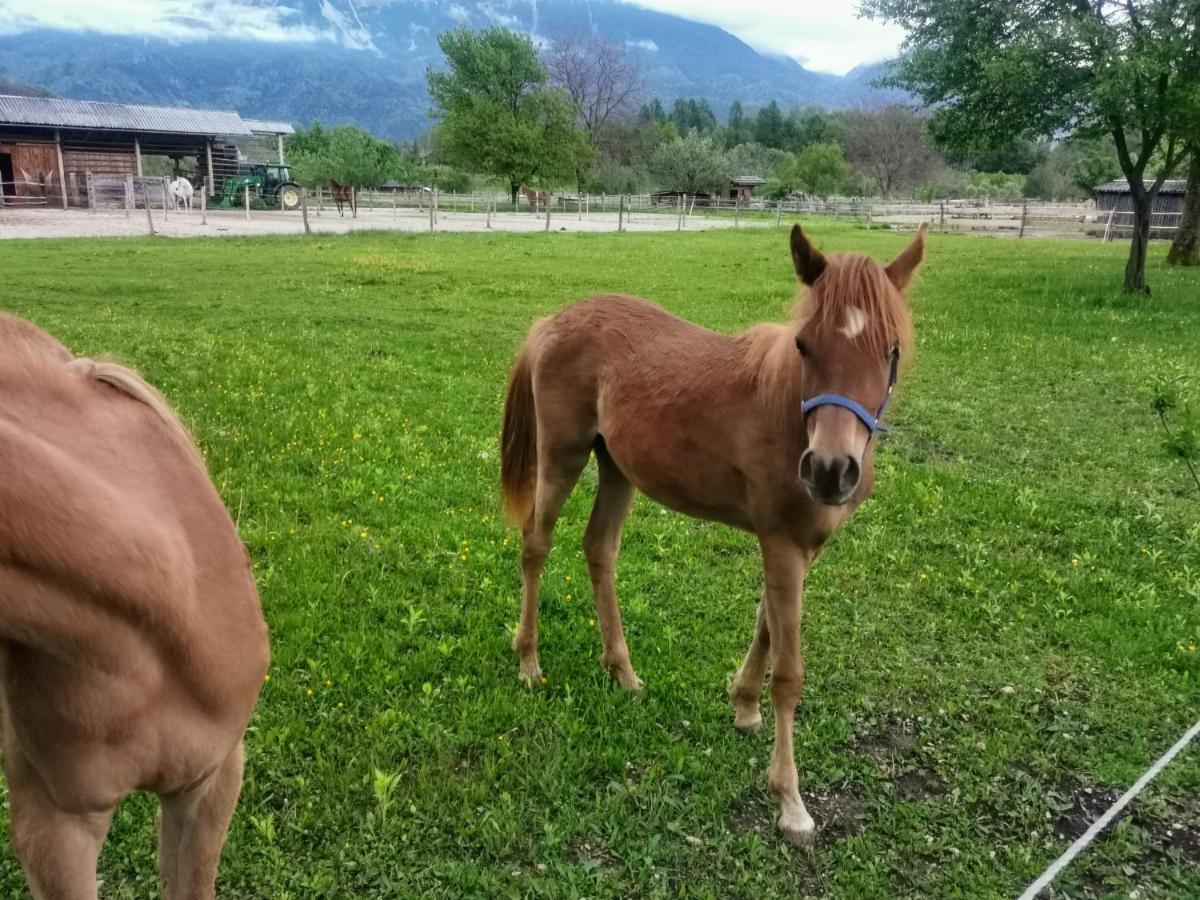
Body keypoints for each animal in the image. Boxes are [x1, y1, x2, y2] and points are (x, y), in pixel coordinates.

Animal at [501, 224, 921, 844]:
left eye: (891, 351)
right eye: (805, 346)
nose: (830, 471)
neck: (787, 414)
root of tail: (552, 321)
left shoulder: (800, 548)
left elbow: (766, 624)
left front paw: (743, 708)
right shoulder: (782, 544)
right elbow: (789, 671)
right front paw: (790, 800)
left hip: (617, 468)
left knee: (599, 549)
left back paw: (623, 672)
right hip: (562, 455)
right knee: (536, 545)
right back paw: (529, 663)